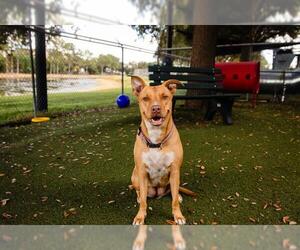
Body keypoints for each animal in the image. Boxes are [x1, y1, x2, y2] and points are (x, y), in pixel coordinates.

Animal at [130, 75, 196, 225]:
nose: (156, 108)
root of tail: (157, 193)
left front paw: (178, 215)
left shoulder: (175, 170)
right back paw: (139, 197)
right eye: (145, 98)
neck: (156, 141)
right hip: (135, 176)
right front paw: (140, 216)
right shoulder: (142, 172)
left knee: (173, 192)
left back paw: (179, 195)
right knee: (139, 192)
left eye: (165, 96)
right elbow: (144, 202)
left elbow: (174, 201)